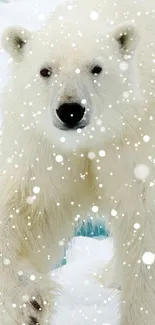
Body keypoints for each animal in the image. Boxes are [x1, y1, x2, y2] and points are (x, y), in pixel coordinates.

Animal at [0, 0, 155, 322]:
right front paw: (28, 302)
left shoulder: (136, 142)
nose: (70, 110)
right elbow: (27, 208)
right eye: (45, 70)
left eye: (96, 67)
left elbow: (142, 224)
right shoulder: (45, 148)